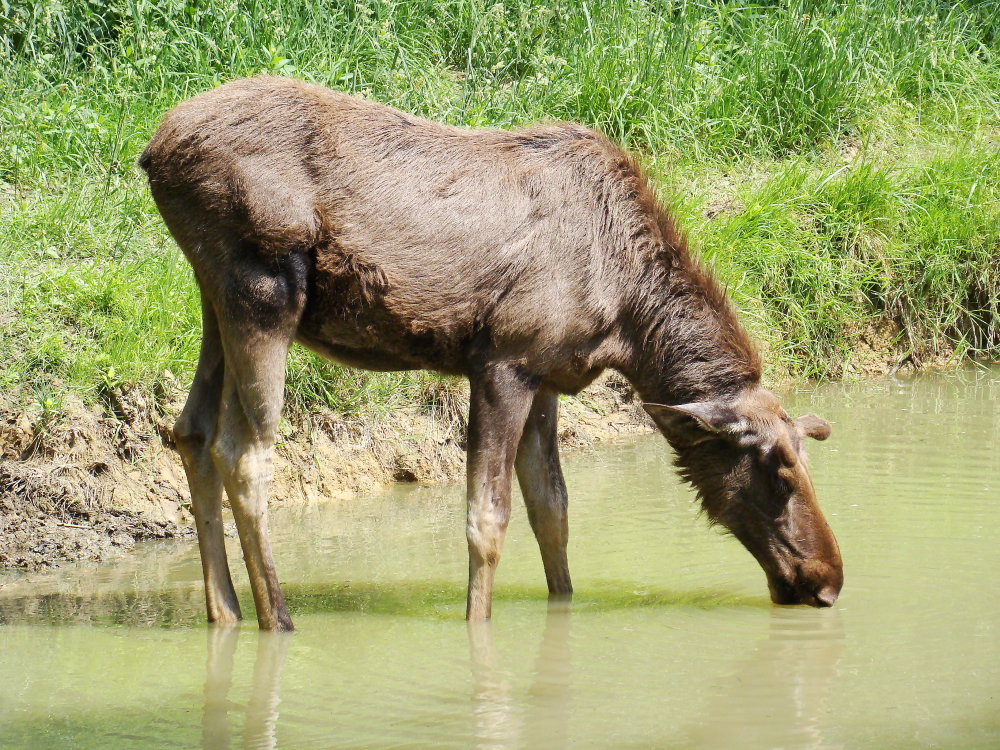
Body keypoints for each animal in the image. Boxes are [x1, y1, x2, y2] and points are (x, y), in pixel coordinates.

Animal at [139, 76, 844, 632]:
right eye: (779, 470)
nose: (828, 580)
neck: (626, 317)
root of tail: (152, 153)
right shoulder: (504, 361)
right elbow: (488, 520)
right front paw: (477, 628)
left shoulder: (549, 376)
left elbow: (553, 510)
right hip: (263, 293)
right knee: (244, 451)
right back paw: (277, 617)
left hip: (213, 299)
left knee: (191, 430)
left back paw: (225, 611)